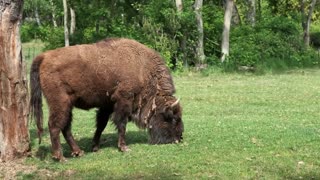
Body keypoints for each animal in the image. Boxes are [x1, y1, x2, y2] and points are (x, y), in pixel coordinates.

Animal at [30, 38, 185, 162]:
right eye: (172, 118)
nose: (179, 138)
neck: (142, 68)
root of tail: (44, 56)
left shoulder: (107, 105)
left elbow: (101, 125)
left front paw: (95, 147)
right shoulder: (123, 101)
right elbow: (121, 124)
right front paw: (123, 148)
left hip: (68, 106)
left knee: (66, 127)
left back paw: (78, 152)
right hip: (60, 103)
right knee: (55, 126)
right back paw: (60, 157)